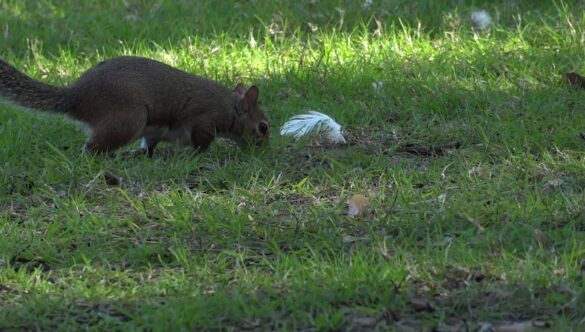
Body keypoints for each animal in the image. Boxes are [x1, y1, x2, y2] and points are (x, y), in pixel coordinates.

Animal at [0, 55, 268, 156]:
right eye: (263, 127)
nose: (265, 149)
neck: (229, 108)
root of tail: (76, 95)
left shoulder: (156, 133)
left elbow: (150, 144)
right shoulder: (205, 121)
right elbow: (201, 143)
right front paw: (198, 155)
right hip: (129, 119)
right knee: (91, 148)